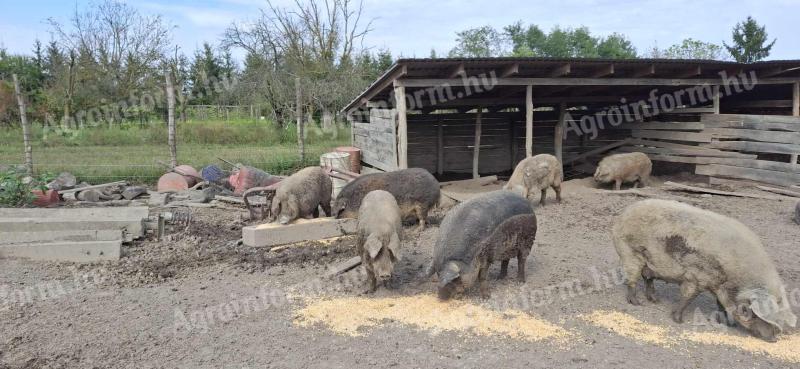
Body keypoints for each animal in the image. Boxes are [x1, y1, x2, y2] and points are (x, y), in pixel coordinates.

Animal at [612, 200, 792, 340]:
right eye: (752, 312)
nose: (773, 339)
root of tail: (623, 214)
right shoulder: (695, 277)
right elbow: (688, 297)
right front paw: (678, 321)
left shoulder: (719, 286)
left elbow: (720, 304)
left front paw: (728, 324)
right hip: (629, 252)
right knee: (632, 279)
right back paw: (637, 303)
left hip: (649, 263)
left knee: (647, 278)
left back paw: (655, 300)